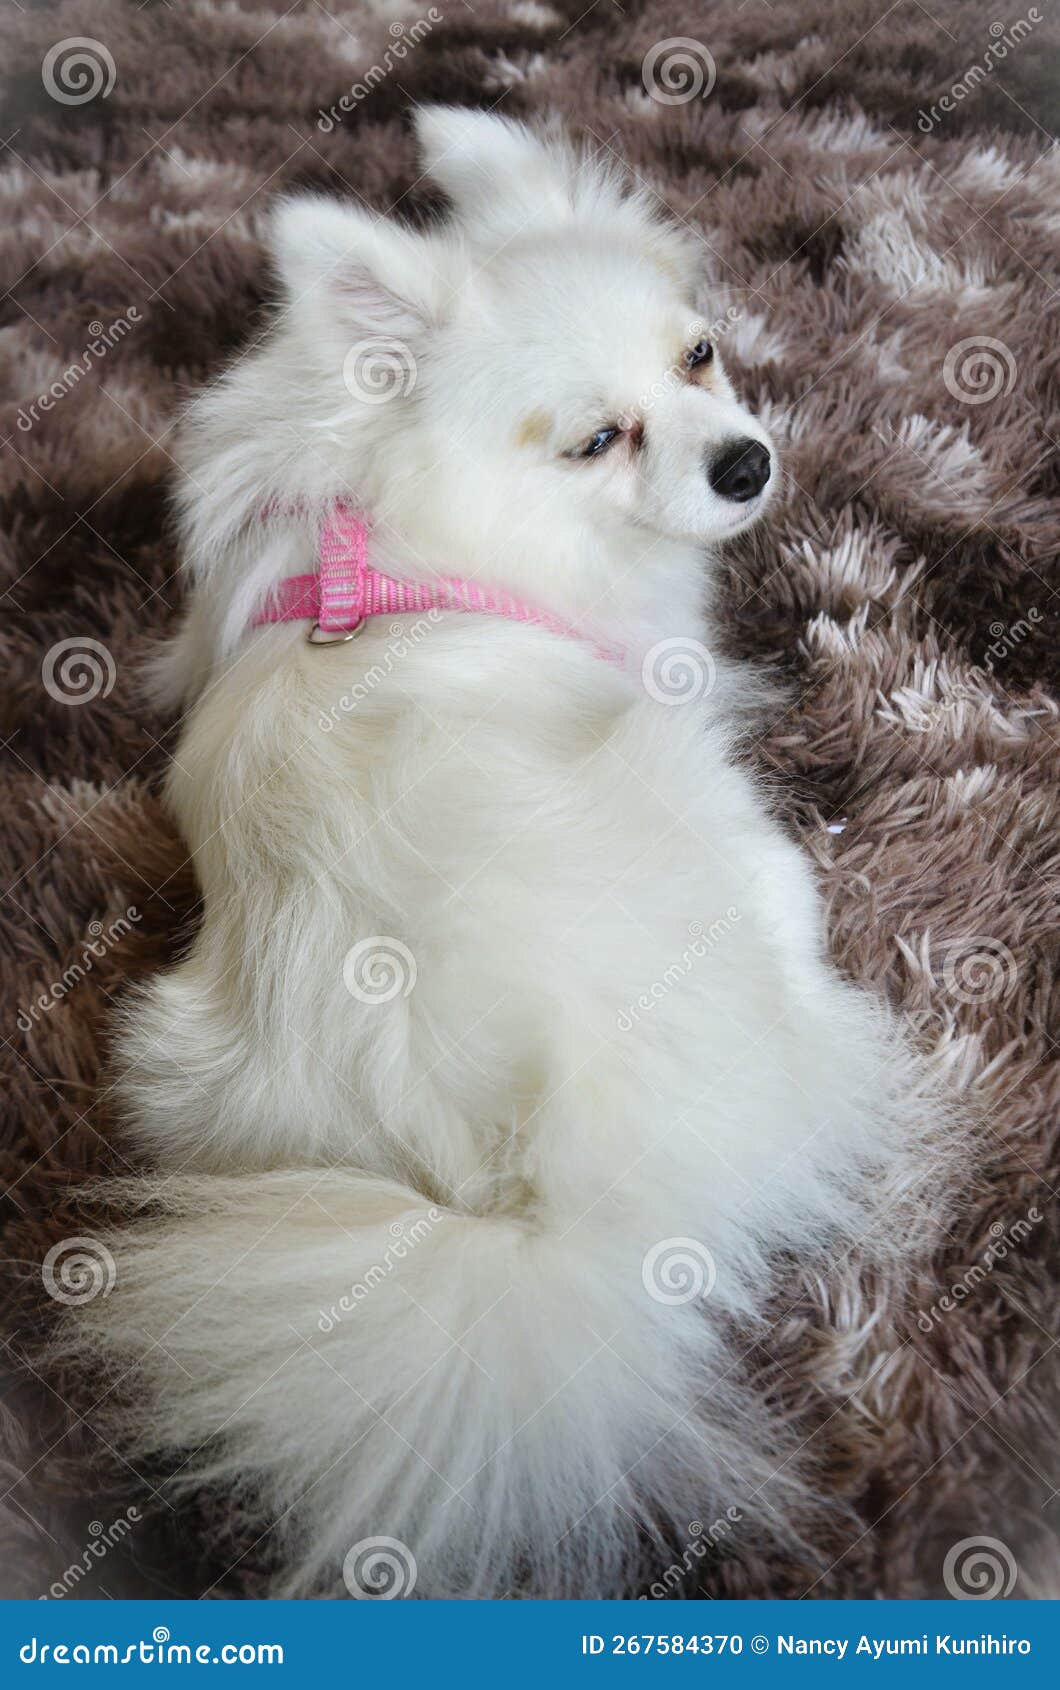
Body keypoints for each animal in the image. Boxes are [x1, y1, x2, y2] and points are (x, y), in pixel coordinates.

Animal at [62, 109, 946, 1595]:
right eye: (597, 440)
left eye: (699, 355)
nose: (745, 462)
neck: (420, 522)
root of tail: (530, 1180)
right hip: (703, 799)